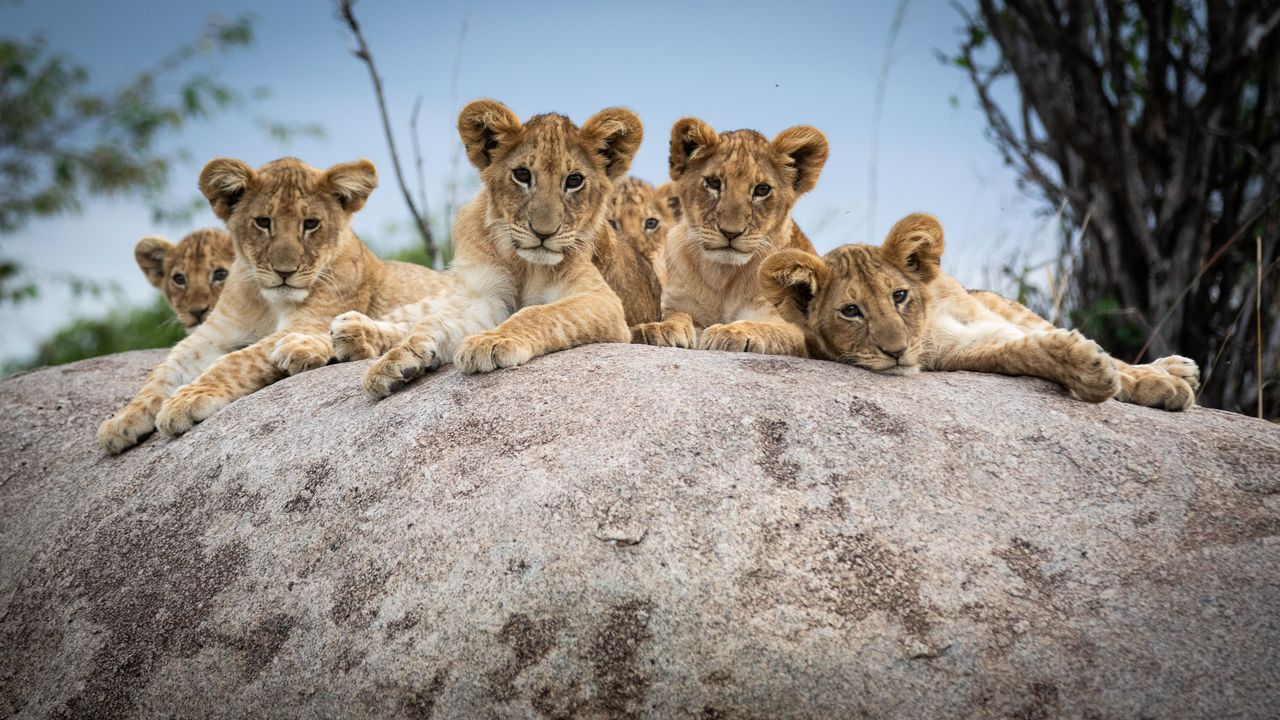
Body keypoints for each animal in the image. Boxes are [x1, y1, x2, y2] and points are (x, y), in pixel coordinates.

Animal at [97, 156, 451, 454]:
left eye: (310, 223)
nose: (285, 271)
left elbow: (235, 361)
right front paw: (121, 421)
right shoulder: (210, 335)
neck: (266, 302)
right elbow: (162, 372)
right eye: (263, 222)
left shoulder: (308, 320)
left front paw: (187, 400)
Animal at [331, 99, 636, 399]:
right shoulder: (488, 296)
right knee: (420, 316)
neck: (524, 264)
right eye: (522, 175)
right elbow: (436, 323)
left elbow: (540, 312)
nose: (543, 233)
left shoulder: (604, 302)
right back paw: (351, 331)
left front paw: (493, 341)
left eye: (574, 180)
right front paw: (399, 358)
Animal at [631, 117, 829, 357]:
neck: (723, 276)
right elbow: (677, 316)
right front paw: (660, 328)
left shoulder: (793, 328)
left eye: (762, 190)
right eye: (714, 183)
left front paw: (730, 332)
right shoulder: (679, 302)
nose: (730, 232)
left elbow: (767, 328)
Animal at [759, 212, 1201, 410]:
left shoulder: (986, 321)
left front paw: (1156, 381)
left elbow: (1117, 365)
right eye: (851, 311)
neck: (927, 326)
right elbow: (1024, 352)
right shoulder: (963, 350)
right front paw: (1091, 372)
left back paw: (1177, 368)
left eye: (899, 296)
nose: (896, 352)